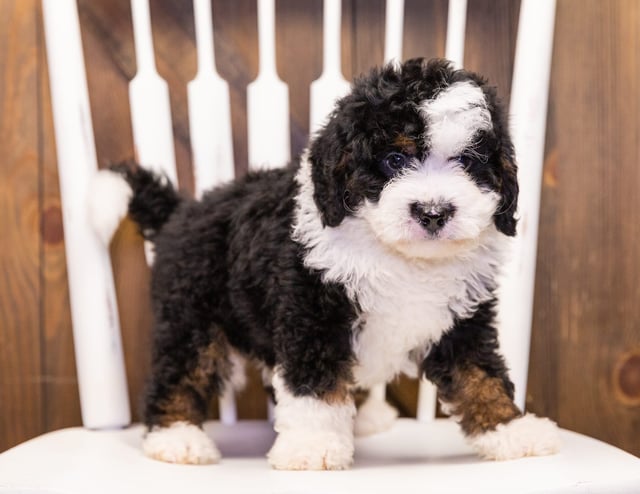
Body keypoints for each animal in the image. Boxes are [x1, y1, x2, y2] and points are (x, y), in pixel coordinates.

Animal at [90, 57, 560, 466]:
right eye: (394, 159)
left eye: (467, 162)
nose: (433, 212)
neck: (399, 254)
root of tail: (182, 212)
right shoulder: (312, 310)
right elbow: (314, 383)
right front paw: (312, 446)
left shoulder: (462, 318)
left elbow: (480, 375)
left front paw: (511, 430)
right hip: (191, 314)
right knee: (182, 369)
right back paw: (176, 438)